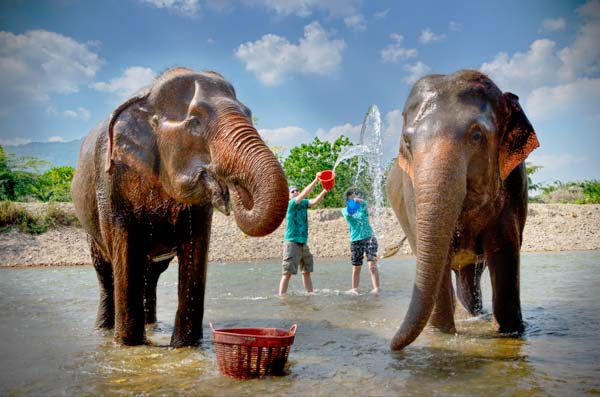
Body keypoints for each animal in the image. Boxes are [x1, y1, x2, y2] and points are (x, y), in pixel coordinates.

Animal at [71, 68, 290, 346]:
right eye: (195, 122)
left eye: (249, 113)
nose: (231, 185)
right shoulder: (112, 178)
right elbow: (125, 248)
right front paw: (128, 345)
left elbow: (196, 248)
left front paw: (184, 346)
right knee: (105, 271)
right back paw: (103, 331)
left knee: (151, 273)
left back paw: (152, 326)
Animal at [386, 69, 540, 350]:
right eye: (407, 142)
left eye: (476, 136)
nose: (391, 346)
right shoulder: (411, 191)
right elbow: (438, 256)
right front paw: (441, 336)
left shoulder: (514, 182)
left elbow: (504, 249)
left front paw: (510, 333)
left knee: (471, 276)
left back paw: (474, 316)